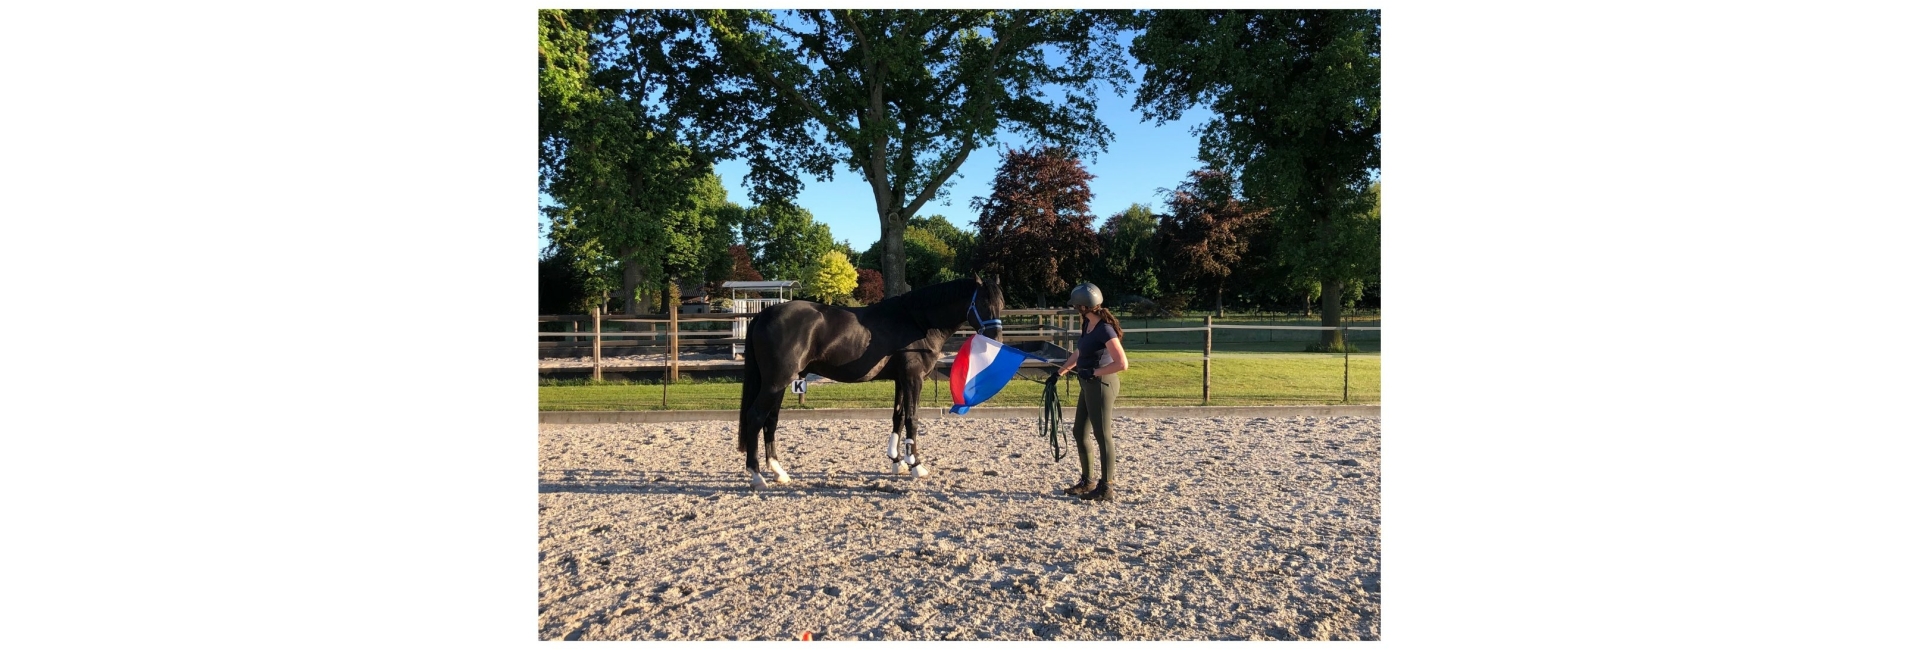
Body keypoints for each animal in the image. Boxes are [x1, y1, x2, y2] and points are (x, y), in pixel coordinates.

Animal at [736, 275, 1005, 489]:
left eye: (1001, 304)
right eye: (983, 303)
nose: (996, 339)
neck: (917, 321)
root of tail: (764, 314)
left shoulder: (901, 380)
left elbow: (898, 416)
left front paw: (898, 462)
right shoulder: (913, 378)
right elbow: (912, 418)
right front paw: (916, 465)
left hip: (779, 384)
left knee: (771, 421)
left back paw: (778, 472)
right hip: (776, 382)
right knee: (756, 417)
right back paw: (757, 475)